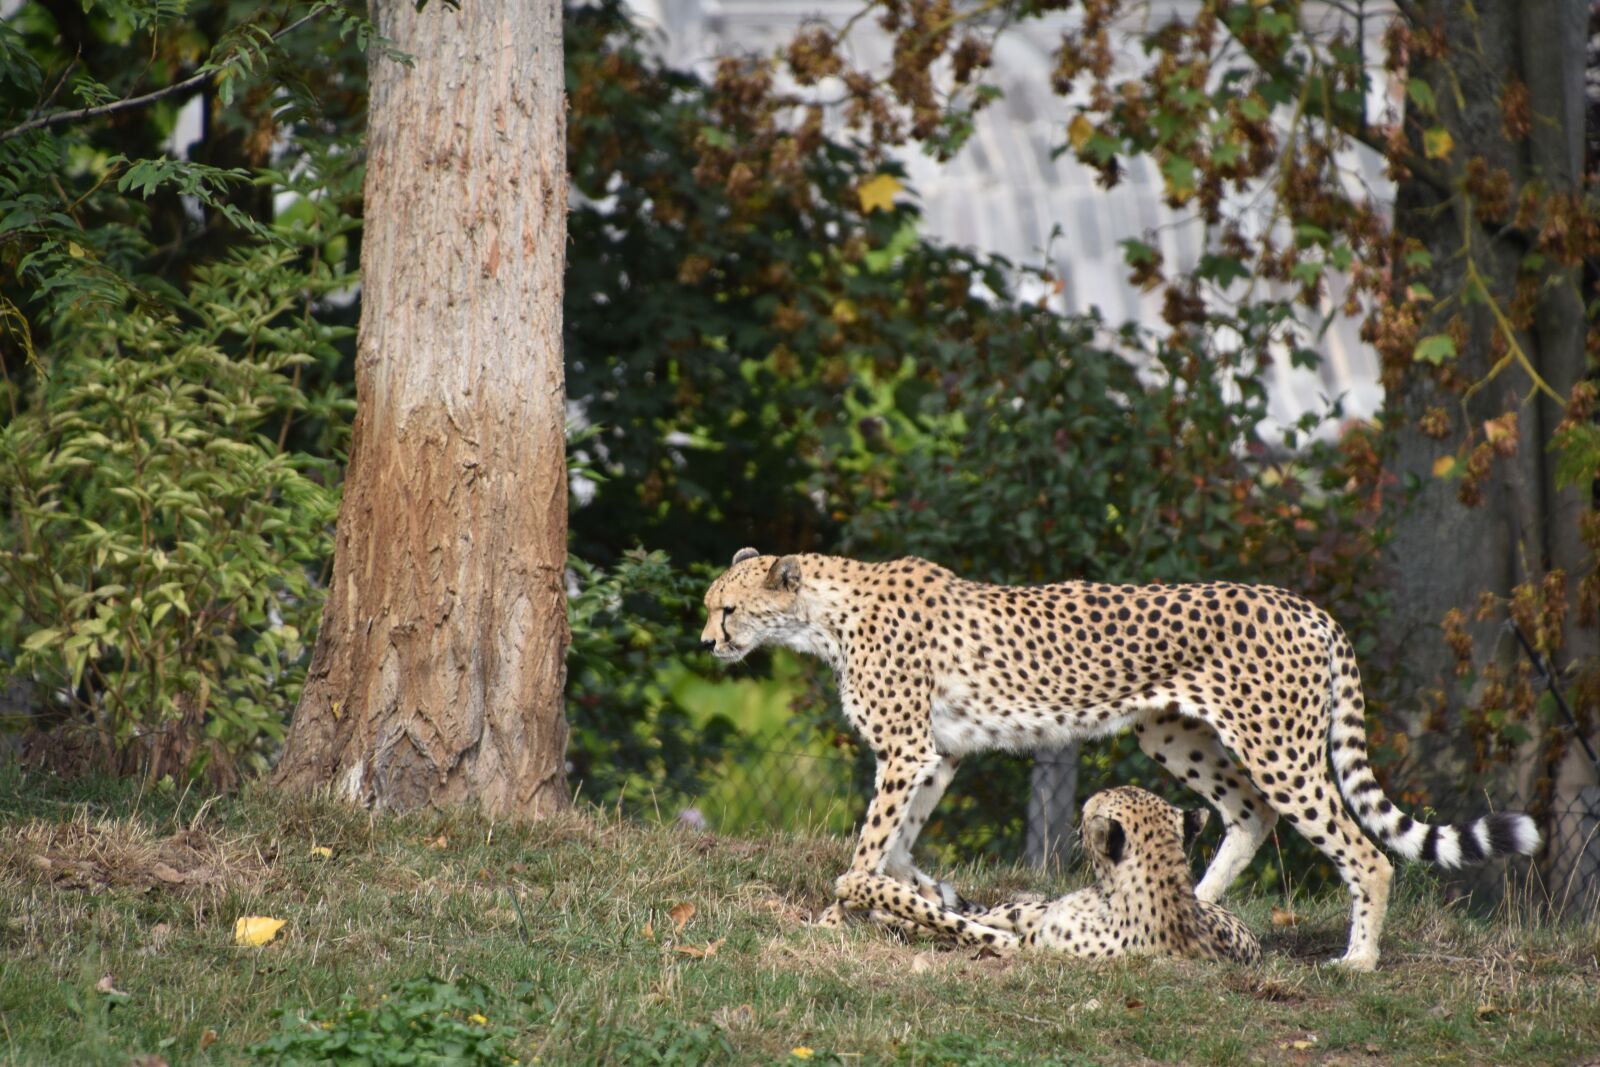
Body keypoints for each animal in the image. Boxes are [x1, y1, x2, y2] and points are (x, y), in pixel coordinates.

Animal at [836, 785, 1261, 965]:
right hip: (1026, 910)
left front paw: (859, 884)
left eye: (1090, 809)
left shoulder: (1026, 946)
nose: (1079, 815)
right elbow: (947, 915)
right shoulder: (1029, 924)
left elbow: (951, 922)